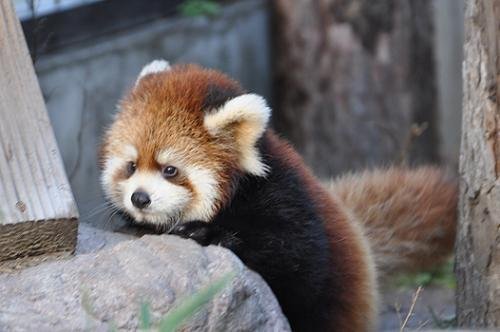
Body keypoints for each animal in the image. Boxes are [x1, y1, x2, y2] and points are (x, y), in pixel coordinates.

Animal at [99, 60, 458, 332]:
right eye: (131, 166)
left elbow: (295, 264)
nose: (140, 198)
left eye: (170, 169)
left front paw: (205, 233)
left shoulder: (284, 199)